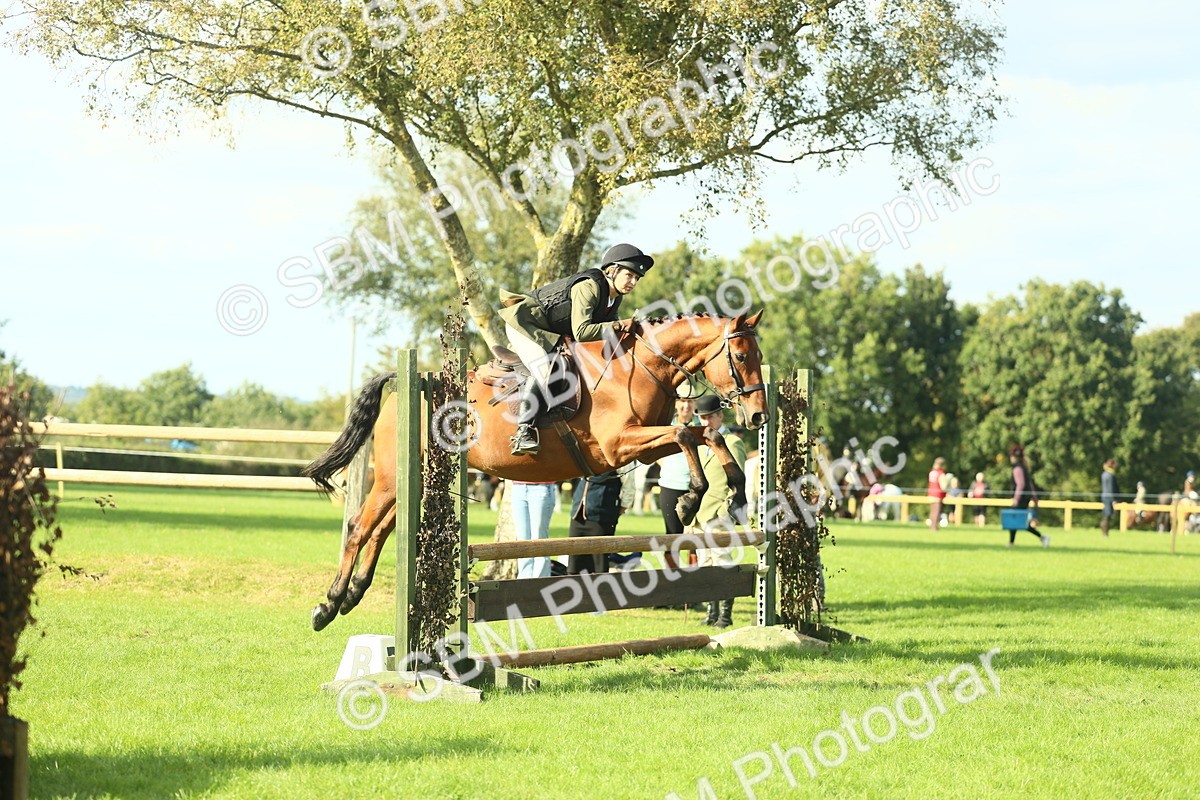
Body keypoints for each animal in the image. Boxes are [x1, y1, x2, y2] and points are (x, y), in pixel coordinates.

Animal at [302, 311, 769, 630]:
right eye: (741, 355)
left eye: (759, 356)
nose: (759, 417)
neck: (641, 367)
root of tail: (409, 383)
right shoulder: (619, 446)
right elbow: (688, 433)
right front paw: (691, 499)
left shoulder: (643, 446)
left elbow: (707, 436)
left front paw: (735, 489)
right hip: (391, 478)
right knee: (360, 528)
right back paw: (328, 604)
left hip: (412, 479)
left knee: (382, 530)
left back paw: (353, 594)